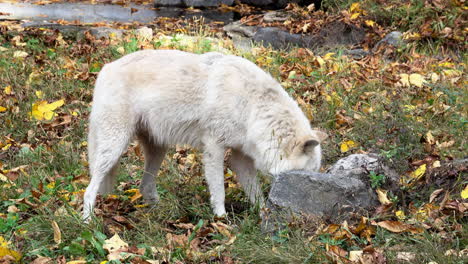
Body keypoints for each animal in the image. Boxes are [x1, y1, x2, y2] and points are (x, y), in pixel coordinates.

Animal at [83, 49, 326, 219]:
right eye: (303, 176)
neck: (253, 106)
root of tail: (105, 68)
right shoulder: (214, 148)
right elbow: (219, 189)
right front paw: (221, 219)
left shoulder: (241, 158)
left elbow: (255, 193)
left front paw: (263, 214)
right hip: (114, 147)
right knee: (89, 189)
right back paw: (89, 222)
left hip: (157, 150)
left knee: (144, 187)